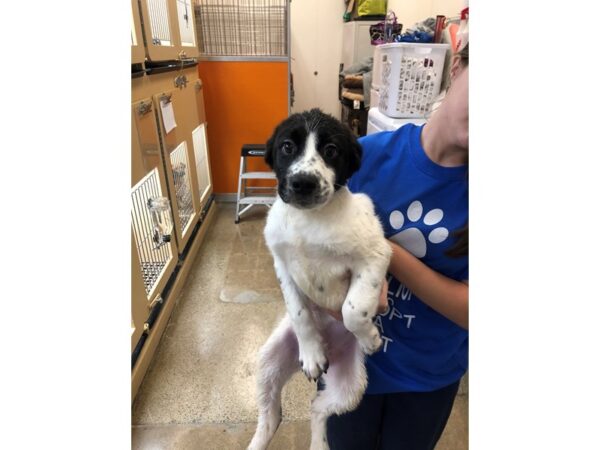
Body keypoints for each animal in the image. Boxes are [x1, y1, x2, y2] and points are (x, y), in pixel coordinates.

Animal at [246, 109, 392, 450]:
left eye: (331, 150)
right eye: (287, 147)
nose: (303, 183)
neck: (309, 221)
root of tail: (335, 352)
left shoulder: (375, 254)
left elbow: (353, 310)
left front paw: (370, 337)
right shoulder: (282, 265)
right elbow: (300, 314)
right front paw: (312, 352)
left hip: (350, 388)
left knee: (317, 408)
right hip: (268, 361)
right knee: (270, 415)